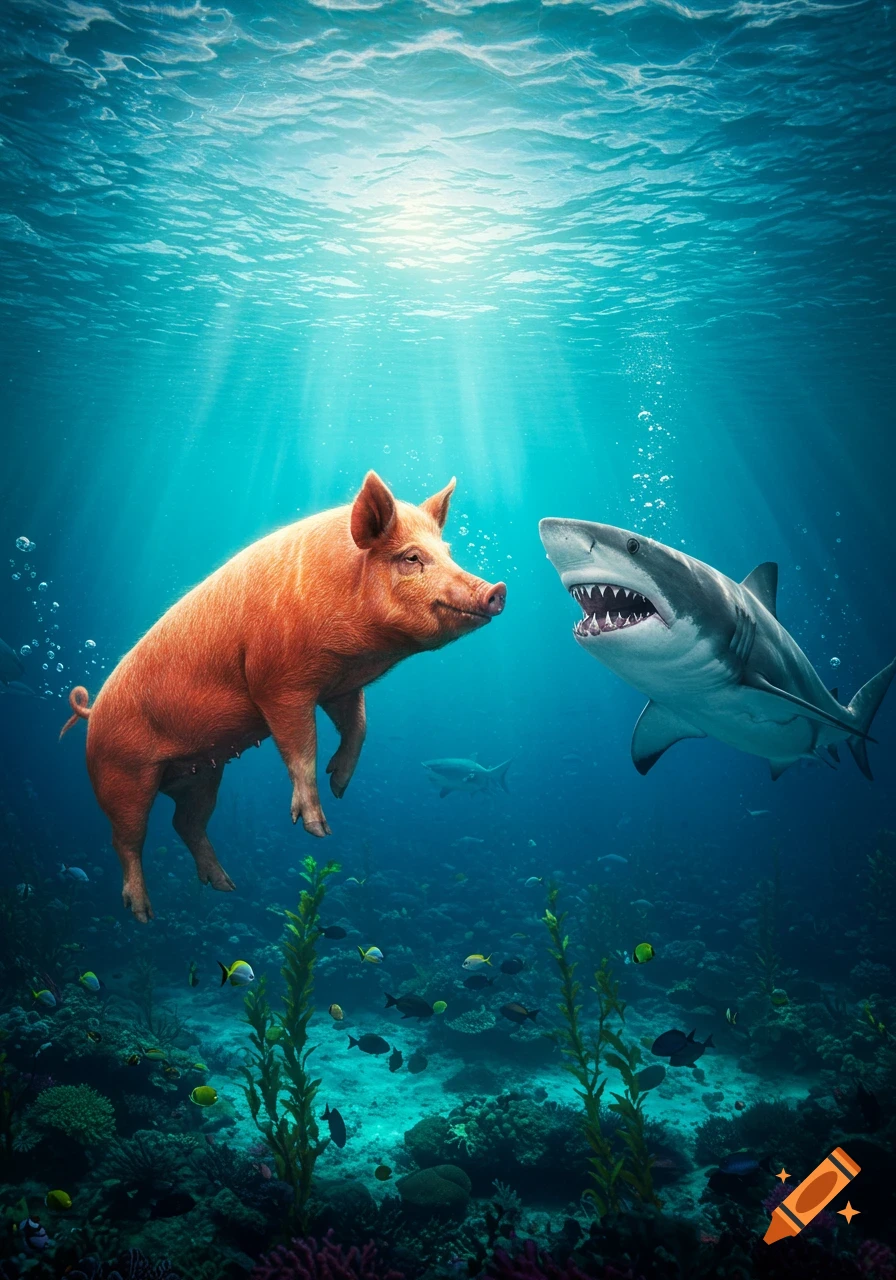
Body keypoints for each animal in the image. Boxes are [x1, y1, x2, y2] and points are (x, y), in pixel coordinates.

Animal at [61, 472, 506, 922]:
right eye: (412, 558)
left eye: (448, 553)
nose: (497, 589)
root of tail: (91, 711)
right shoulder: (276, 684)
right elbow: (301, 748)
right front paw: (319, 830)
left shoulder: (342, 686)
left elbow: (359, 728)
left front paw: (339, 785)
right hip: (120, 774)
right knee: (127, 838)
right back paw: (144, 913)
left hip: (201, 774)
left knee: (186, 823)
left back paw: (225, 885)